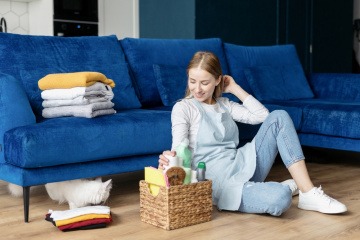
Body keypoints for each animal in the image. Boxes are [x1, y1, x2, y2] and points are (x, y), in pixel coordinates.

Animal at [0, 32, 360, 222]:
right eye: (193, 83)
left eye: (204, 83)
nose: (199, 90)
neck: (206, 102)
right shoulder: (179, 119)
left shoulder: (232, 104)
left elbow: (259, 113)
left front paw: (230, 82)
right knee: (273, 190)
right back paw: (297, 193)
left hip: (259, 153)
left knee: (277, 116)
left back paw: (301, 187)